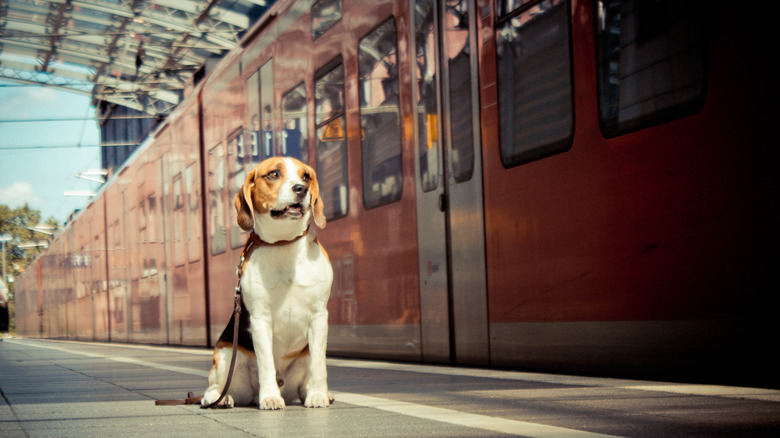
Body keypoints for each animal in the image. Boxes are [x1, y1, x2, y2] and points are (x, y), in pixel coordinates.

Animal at [201, 157, 332, 410]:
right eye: (273, 174)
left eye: (306, 176)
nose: (301, 189)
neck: (284, 243)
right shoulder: (260, 318)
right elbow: (266, 362)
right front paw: (270, 397)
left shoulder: (319, 315)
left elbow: (319, 365)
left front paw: (318, 395)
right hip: (225, 355)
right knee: (213, 388)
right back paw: (221, 399)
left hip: (304, 354)